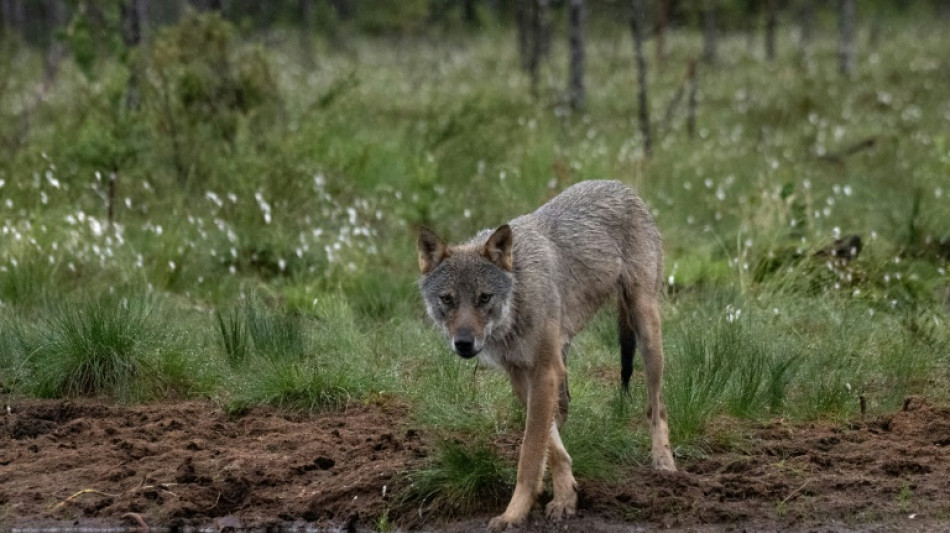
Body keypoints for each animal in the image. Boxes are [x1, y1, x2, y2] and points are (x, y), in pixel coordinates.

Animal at [416, 179, 676, 528]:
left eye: (484, 297)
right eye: (447, 299)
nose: (464, 343)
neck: (518, 299)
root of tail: (621, 185)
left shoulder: (543, 371)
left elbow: (530, 454)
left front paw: (514, 513)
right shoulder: (522, 374)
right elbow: (548, 445)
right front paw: (565, 496)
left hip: (646, 330)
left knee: (656, 405)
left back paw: (664, 462)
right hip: (565, 358)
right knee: (565, 409)